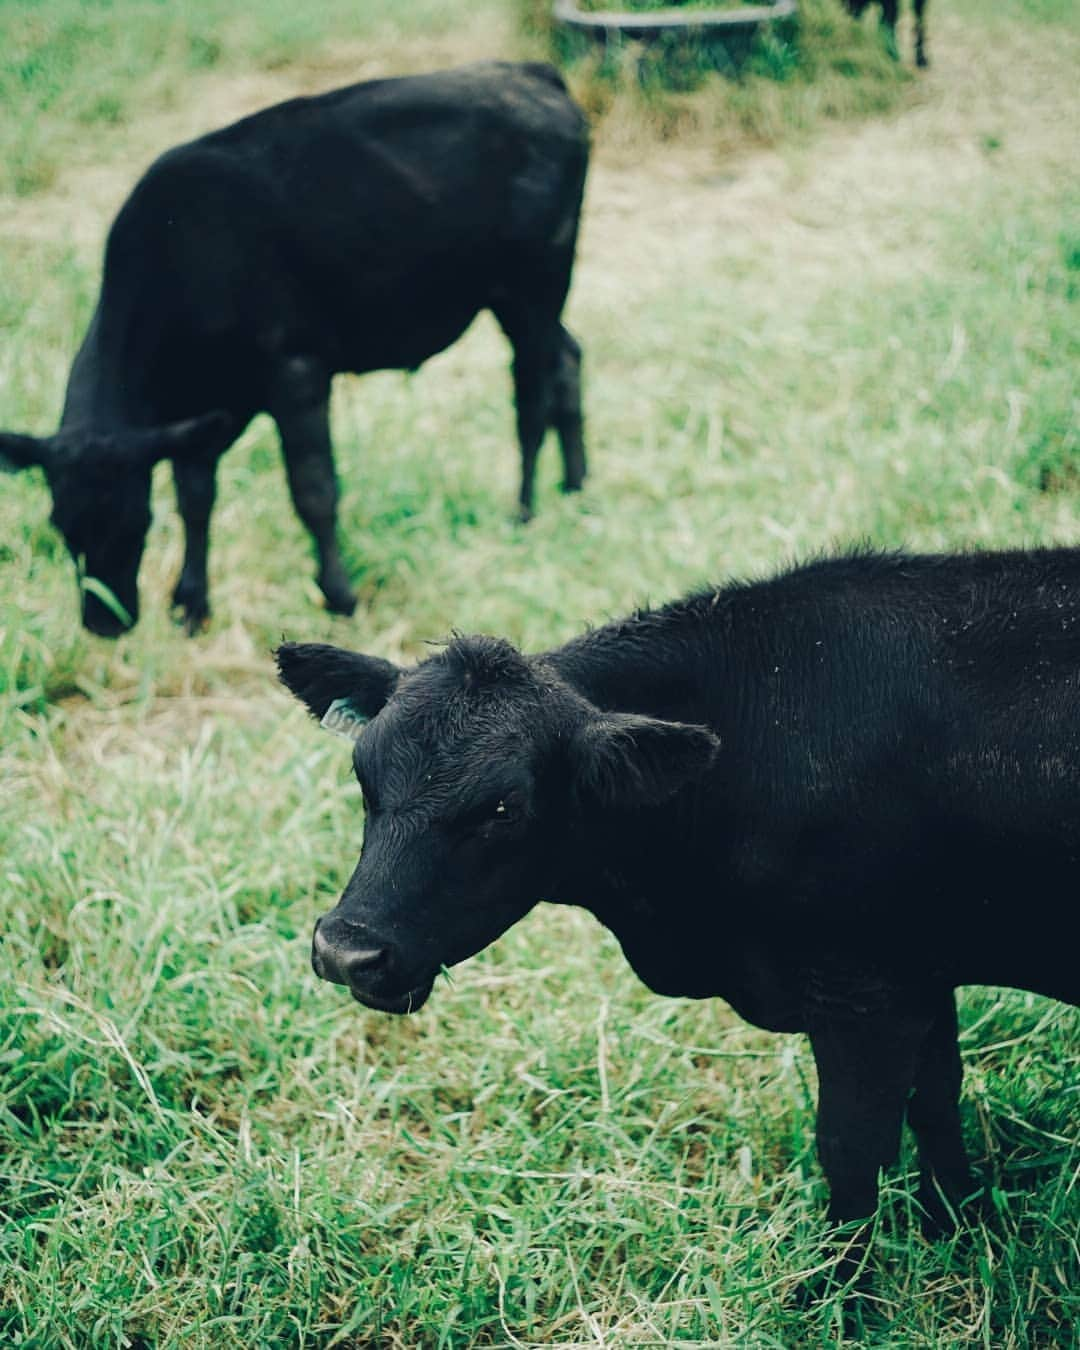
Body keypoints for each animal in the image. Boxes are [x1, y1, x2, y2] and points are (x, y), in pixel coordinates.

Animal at [0, 67, 585, 642]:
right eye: (60, 525)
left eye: (136, 519)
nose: (104, 623)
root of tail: (532, 74)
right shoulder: (206, 409)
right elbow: (195, 496)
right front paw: (192, 603)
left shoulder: (296, 372)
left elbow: (313, 491)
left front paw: (340, 598)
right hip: (523, 298)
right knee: (569, 358)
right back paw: (575, 483)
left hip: (533, 286)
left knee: (531, 395)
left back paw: (523, 512)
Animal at [276, 545, 1080, 1274]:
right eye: (363, 775)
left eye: (503, 807)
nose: (345, 950)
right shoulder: (920, 973)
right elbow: (938, 1099)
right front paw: (962, 1225)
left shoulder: (864, 994)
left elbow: (851, 1153)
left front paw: (839, 1299)